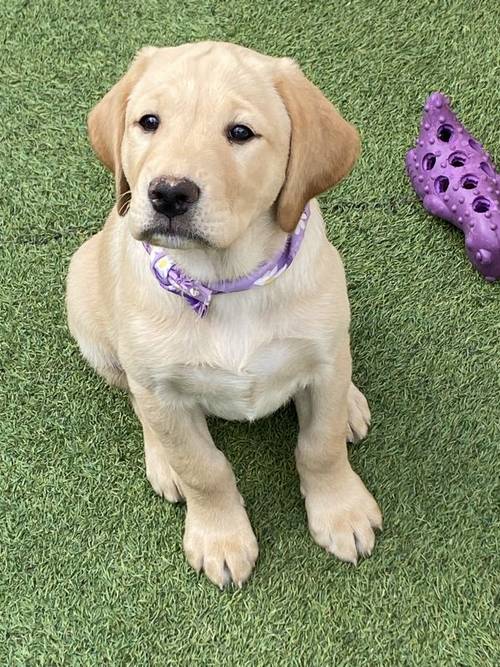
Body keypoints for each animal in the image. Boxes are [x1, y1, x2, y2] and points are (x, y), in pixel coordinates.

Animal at [67, 41, 382, 588]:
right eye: (148, 122)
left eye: (240, 133)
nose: (169, 193)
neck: (225, 282)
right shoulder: (162, 389)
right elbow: (203, 469)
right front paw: (220, 538)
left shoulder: (323, 361)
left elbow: (320, 446)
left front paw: (342, 512)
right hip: (87, 308)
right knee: (137, 401)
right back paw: (162, 462)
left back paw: (350, 405)